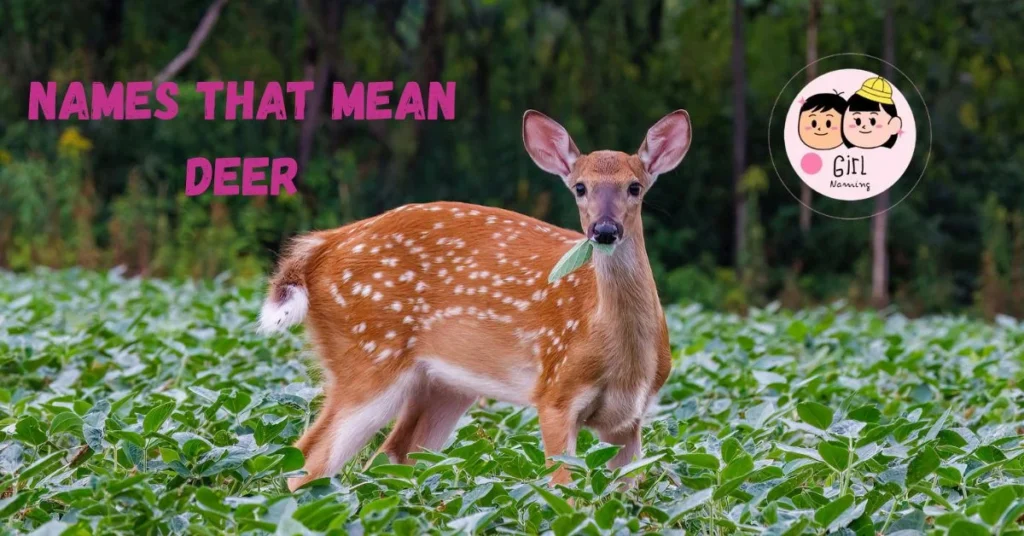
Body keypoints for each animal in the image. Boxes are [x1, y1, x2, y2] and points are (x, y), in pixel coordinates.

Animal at [258, 109, 692, 491]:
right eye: (580, 187)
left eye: (634, 187)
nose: (603, 230)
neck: (622, 357)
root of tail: (320, 247)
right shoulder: (555, 393)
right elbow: (565, 492)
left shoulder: (630, 420)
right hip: (368, 355)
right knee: (309, 459)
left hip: (442, 385)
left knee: (387, 459)